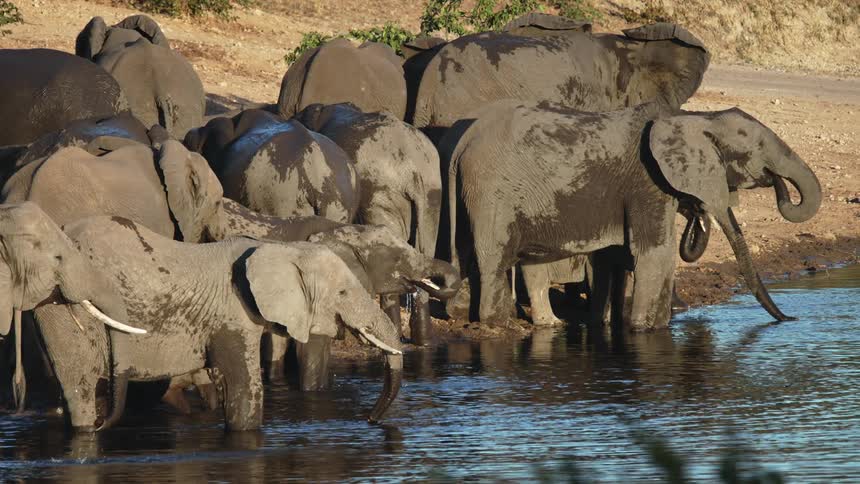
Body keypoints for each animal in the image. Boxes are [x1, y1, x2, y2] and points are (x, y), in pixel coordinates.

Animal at [0, 202, 403, 431]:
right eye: (343, 293)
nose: (370, 420)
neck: (277, 247)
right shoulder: (232, 314)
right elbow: (245, 390)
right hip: (59, 309)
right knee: (79, 385)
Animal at [294, 102, 443, 345]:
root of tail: (415, 168)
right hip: (432, 194)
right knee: (425, 248)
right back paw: (424, 342)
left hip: (380, 190)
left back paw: (394, 333)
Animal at [443, 100, 821, 330]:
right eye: (756, 149)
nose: (791, 318)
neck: (693, 116)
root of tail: (462, 141)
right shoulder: (646, 182)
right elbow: (655, 254)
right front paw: (642, 329)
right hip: (492, 190)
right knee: (495, 259)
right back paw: (498, 325)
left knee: (509, 259)